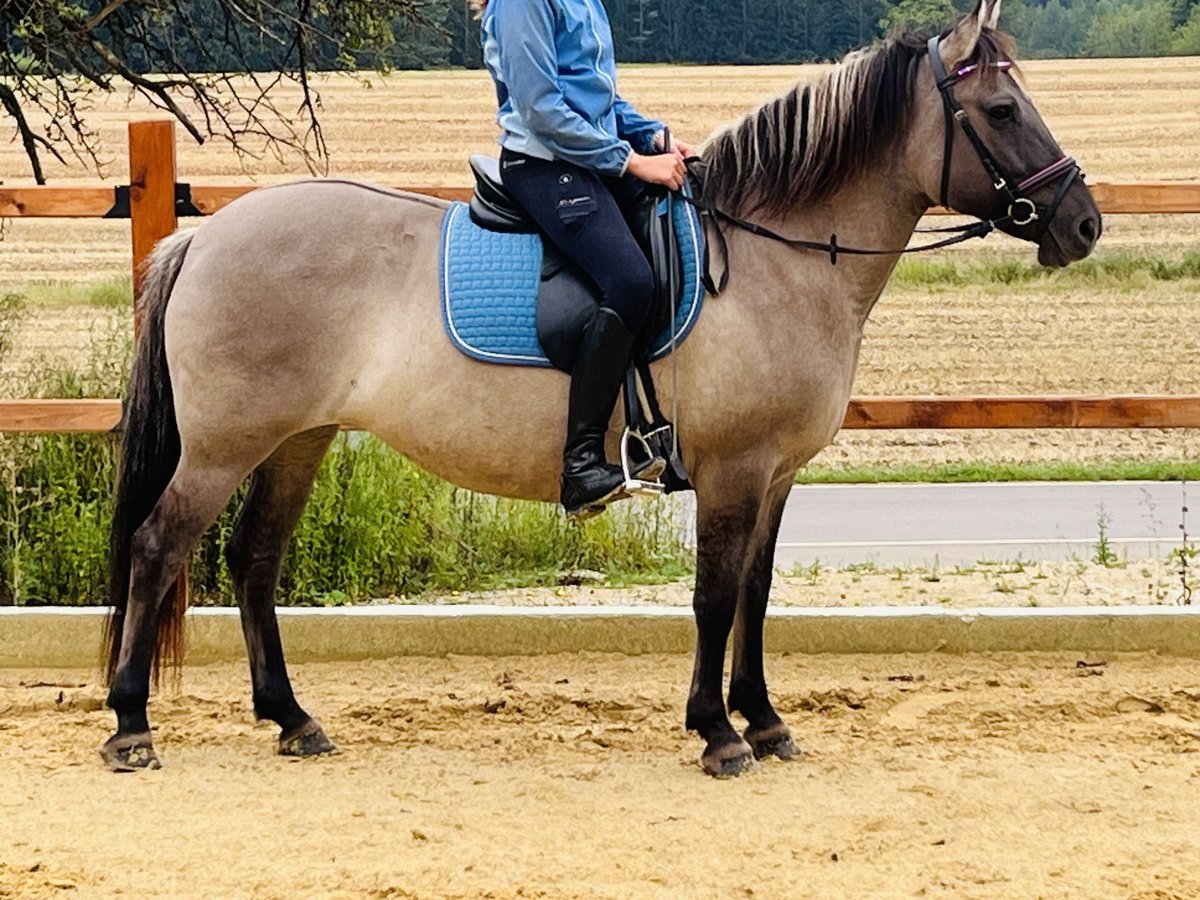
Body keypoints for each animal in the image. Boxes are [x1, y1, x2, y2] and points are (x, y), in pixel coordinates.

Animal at [100, 0, 1099, 777]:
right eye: (1001, 108)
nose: (1084, 223)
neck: (776, 259)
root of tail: (208, 235)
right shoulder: (734, 470)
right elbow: (714, 596)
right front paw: (718, 732)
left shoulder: (778, 475)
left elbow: (758, 592)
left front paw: (766, 720)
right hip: (224, 444)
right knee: (157, 547)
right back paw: (131, 724)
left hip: (295, 439)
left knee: (253, 560)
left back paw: (293, 719)